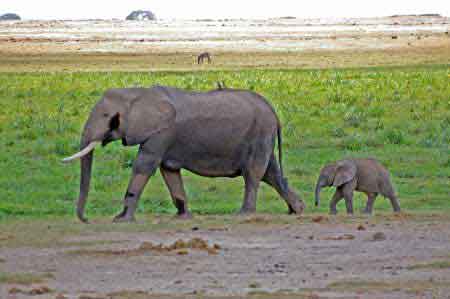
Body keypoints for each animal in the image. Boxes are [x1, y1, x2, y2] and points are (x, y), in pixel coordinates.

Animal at [63, 85, 304, 223]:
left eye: (106, 116)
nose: (85, 219)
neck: (138, 92)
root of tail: (273, 111)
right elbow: (168, 171)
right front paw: (183, 216)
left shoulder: (161, 132)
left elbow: (144, 165)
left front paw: (122, 220)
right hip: (262, 135)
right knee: (272, 174)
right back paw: (297, 210)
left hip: (260, 132)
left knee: (253, 174)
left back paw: (244, 214)